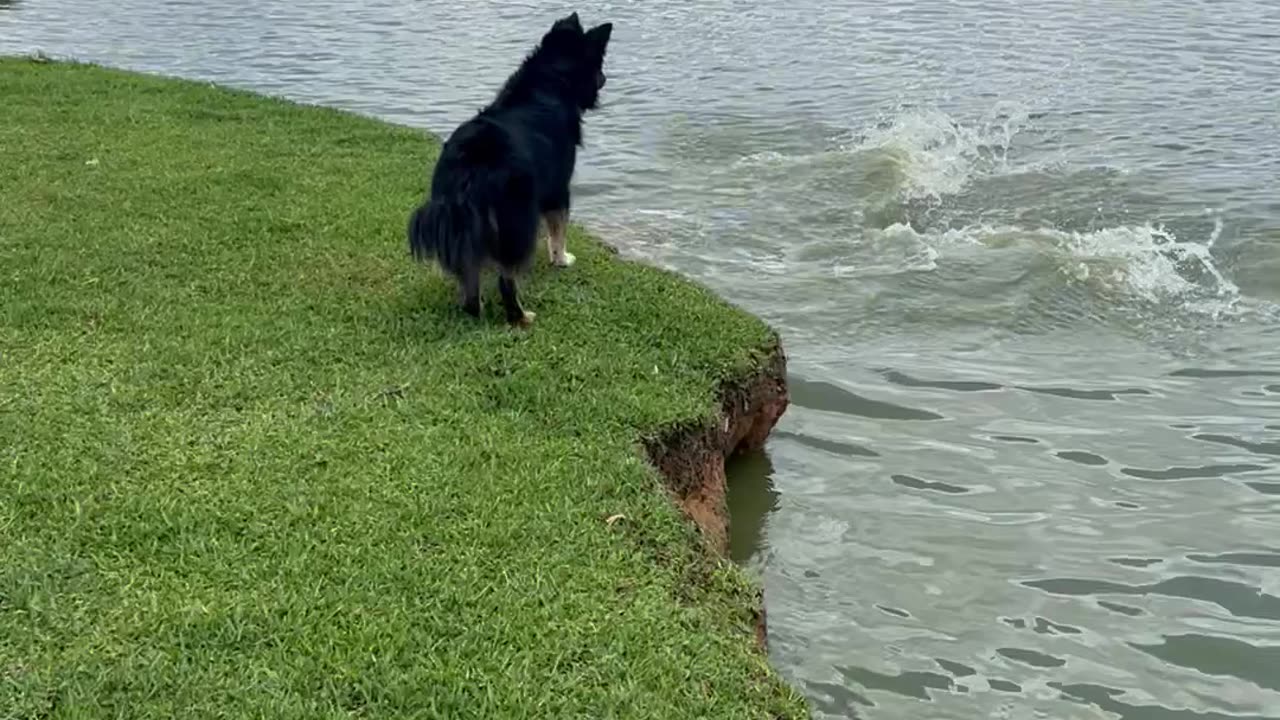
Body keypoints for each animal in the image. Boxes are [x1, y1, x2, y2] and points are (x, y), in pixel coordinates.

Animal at [407, 12, 611, 326]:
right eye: (598, 66)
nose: (606, 78)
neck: (548, 82)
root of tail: (472, 160)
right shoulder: (558, 189)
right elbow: (559, 230)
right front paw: (562, 260)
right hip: (517, 217)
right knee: (507, 279)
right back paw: (521, 318)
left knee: (469, 276)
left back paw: (474, 307)